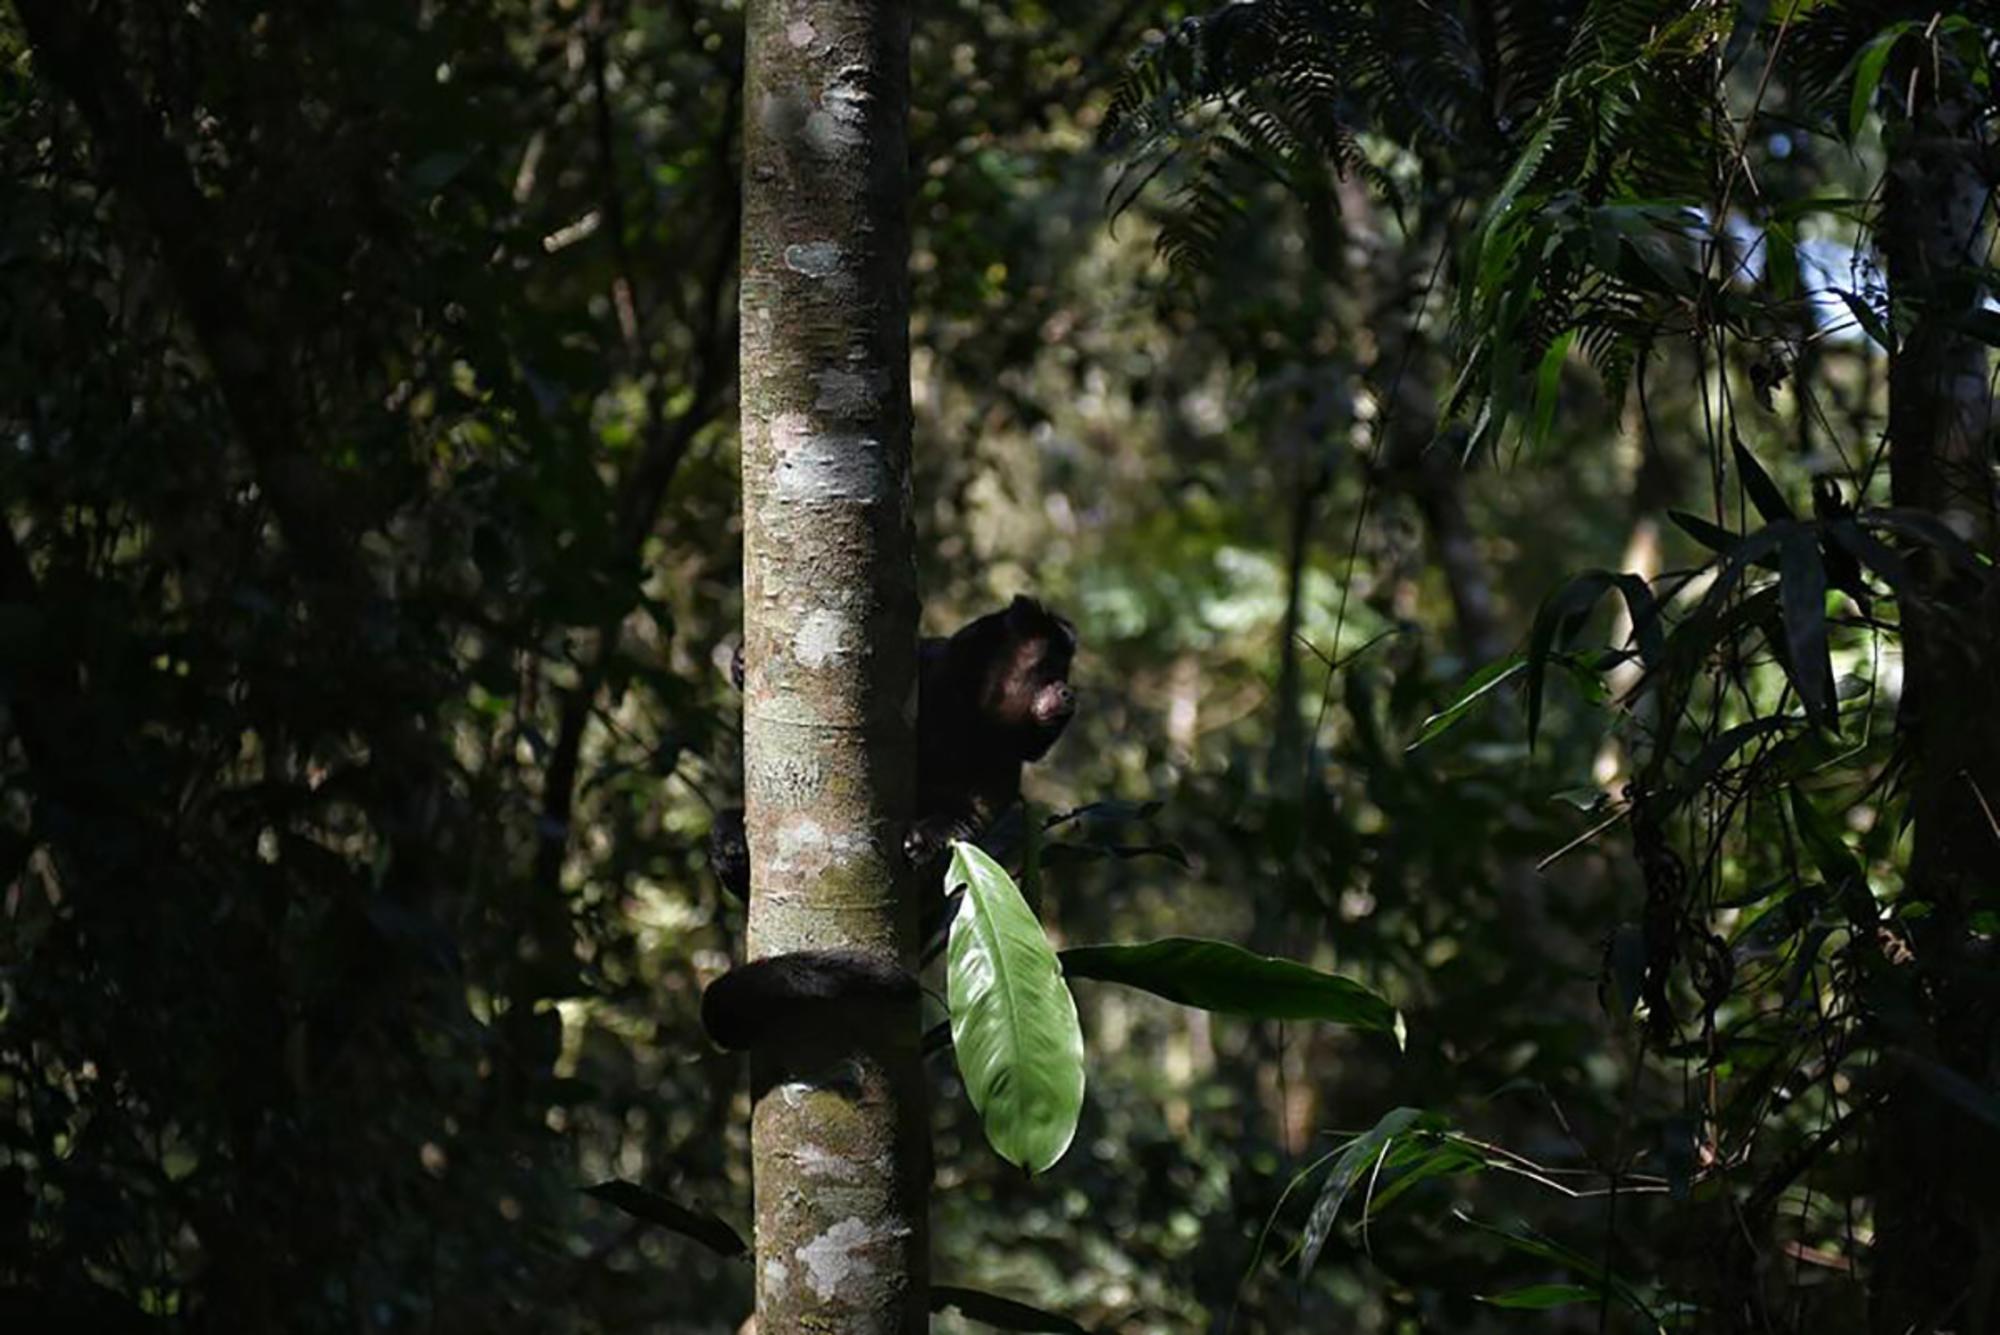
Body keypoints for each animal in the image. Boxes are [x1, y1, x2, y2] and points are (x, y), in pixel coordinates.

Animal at [704, 595, 1080, 1055]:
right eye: (1050, 669)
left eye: (1064, 674)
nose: (1068, 691)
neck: (969, 716)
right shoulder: (929, 668)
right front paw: (740, 662)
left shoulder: (1002, 766)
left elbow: (971, 819)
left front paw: (934, 837)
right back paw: (732, 847)